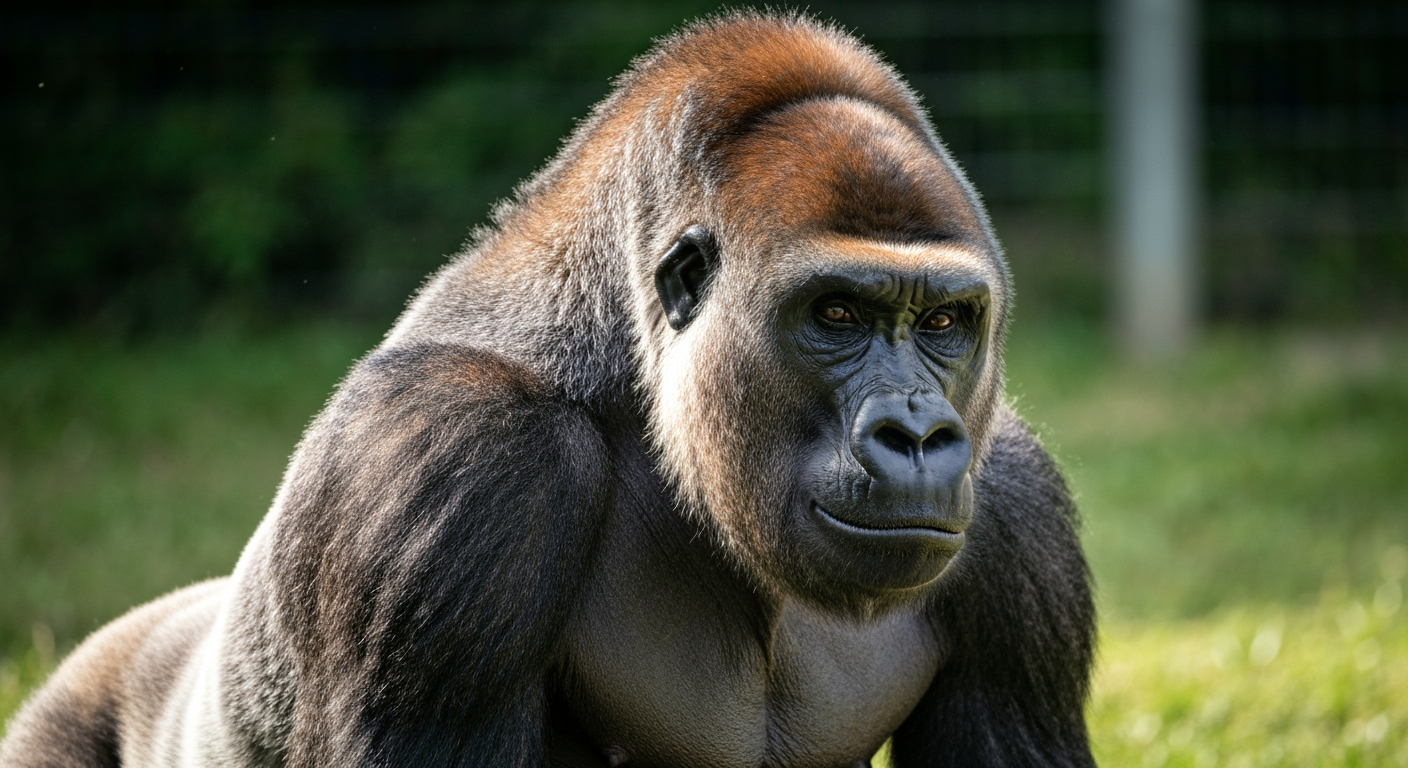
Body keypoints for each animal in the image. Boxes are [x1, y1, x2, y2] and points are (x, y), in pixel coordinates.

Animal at [1, 11, 1096, 767]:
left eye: (944, 325)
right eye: (835, 315)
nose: (917, 434)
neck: (631, 378)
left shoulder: (1015, 509)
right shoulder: (456, 458)